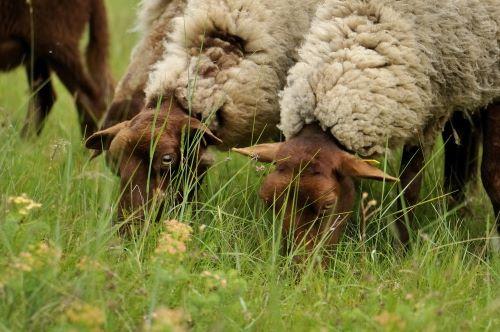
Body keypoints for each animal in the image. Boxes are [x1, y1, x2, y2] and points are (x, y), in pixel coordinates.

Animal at [234, 0, 500, 254]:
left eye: (328, 204)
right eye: (267, 201)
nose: (297, 264)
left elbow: (485, 176)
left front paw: (402, 251)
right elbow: (405, 187)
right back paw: (458, 212)